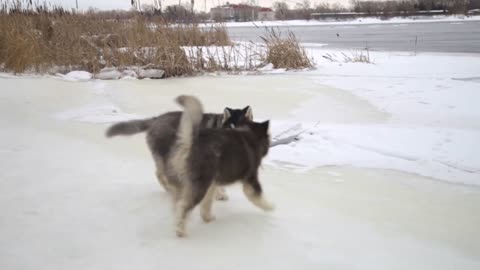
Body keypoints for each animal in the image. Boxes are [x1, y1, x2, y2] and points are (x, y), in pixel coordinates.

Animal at [106, 105, 253, 200]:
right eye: (231, 127)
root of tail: (156, 119)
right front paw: (219, 194)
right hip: (166, 156)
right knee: (159, 173)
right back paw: (171, 189)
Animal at [165, 96, 272, 237]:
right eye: (230, 126)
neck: (250, 134)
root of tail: (190, 142)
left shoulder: (212, 182)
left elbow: (207, 203)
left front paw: (207, 216)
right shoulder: (250, 178)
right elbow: (257, 195)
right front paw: (269, 206)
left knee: (179, 201)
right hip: (199, 184)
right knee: (183, 206)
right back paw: (180, 230)